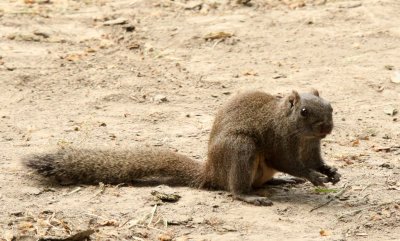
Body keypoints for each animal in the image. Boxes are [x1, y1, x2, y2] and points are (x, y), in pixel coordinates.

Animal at [22, 89, 340, 206]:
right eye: (303, 112)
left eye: (331, 107)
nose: (326, 127)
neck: (302, 137)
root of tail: (211, 173)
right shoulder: (277, 142)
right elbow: (289, 162)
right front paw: (313, 177)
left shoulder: (312, 148)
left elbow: (316, 161)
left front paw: (331, 172)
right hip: (241, 148)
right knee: (235, 189)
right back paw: (250, 196)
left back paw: (278, 183)